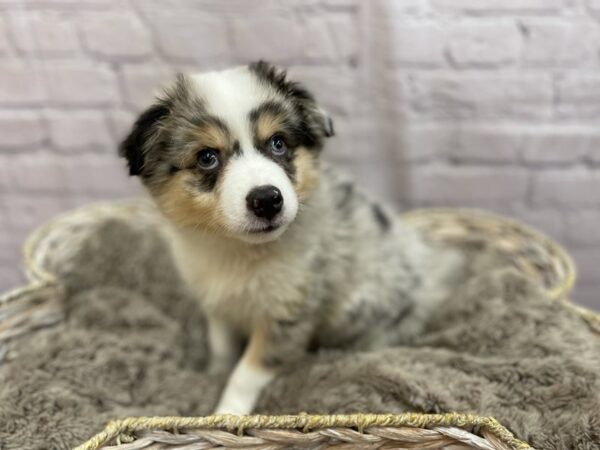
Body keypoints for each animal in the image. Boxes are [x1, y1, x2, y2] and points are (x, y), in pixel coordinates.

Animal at [120, 60, 460, 414]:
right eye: (207, 157)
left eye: (278, 143)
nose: (267, 199)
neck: (238, 252)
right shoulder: (217, 302)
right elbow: (222, 348)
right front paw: (212, 376)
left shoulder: (288, 314)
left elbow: (245, 373)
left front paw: (227, 413)